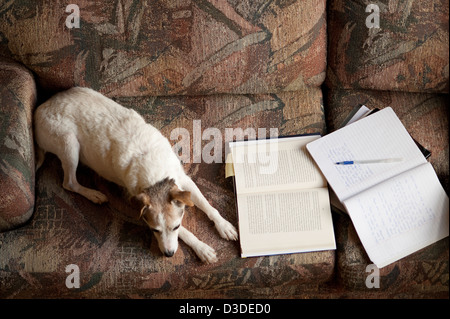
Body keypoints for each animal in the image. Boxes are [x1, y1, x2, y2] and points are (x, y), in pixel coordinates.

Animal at [34, 87, 239, 262]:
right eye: (154, 230)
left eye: (175, 226)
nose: (168, 254)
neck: (156, 179)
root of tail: (39, 109)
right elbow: (187, 234)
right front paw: (202, 248)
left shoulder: (183, 181)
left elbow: (207, 205)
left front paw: (224, 226)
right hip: (68, 142)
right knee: (69, 182)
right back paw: (94, 194)